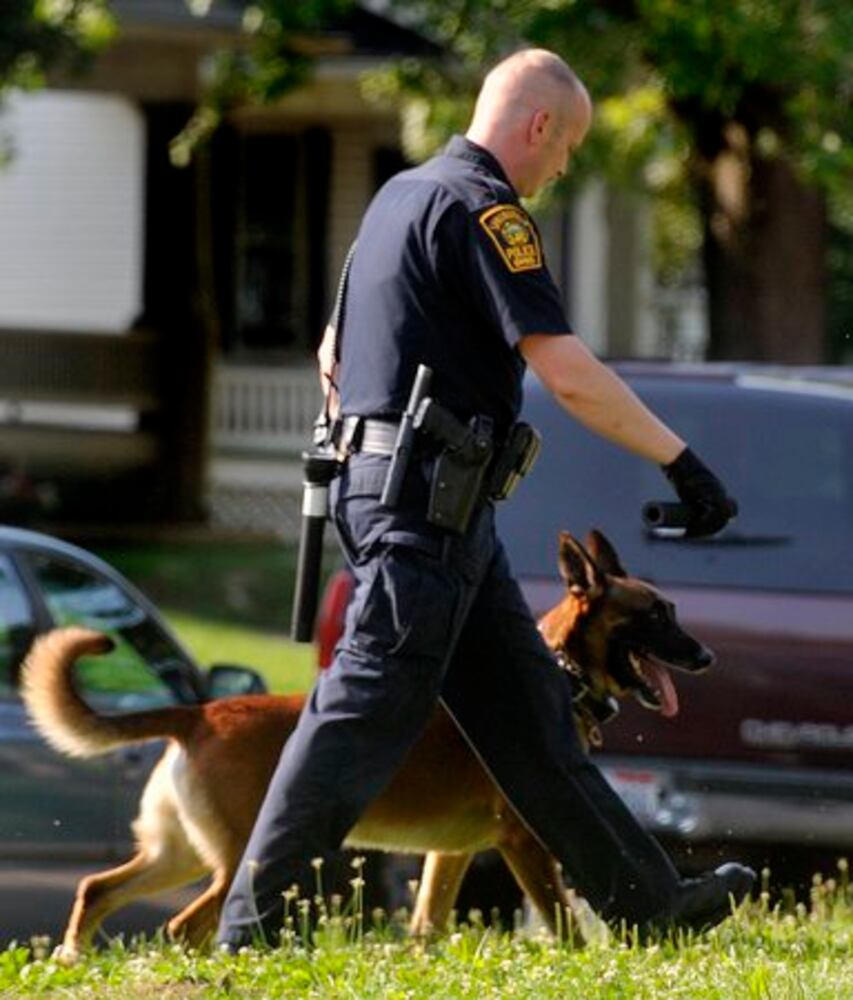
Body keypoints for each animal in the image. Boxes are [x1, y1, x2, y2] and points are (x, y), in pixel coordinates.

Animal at [21, 532, 712, 960]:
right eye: (656, 615)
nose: (705, 656)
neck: (562, 671)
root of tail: (198, 712)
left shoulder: (451, 854)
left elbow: (427, 924)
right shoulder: (525, 843)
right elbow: (566, 925)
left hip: (179, 853)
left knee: (97, 889)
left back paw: (71, 958)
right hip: (240, 859)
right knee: (183, 925)